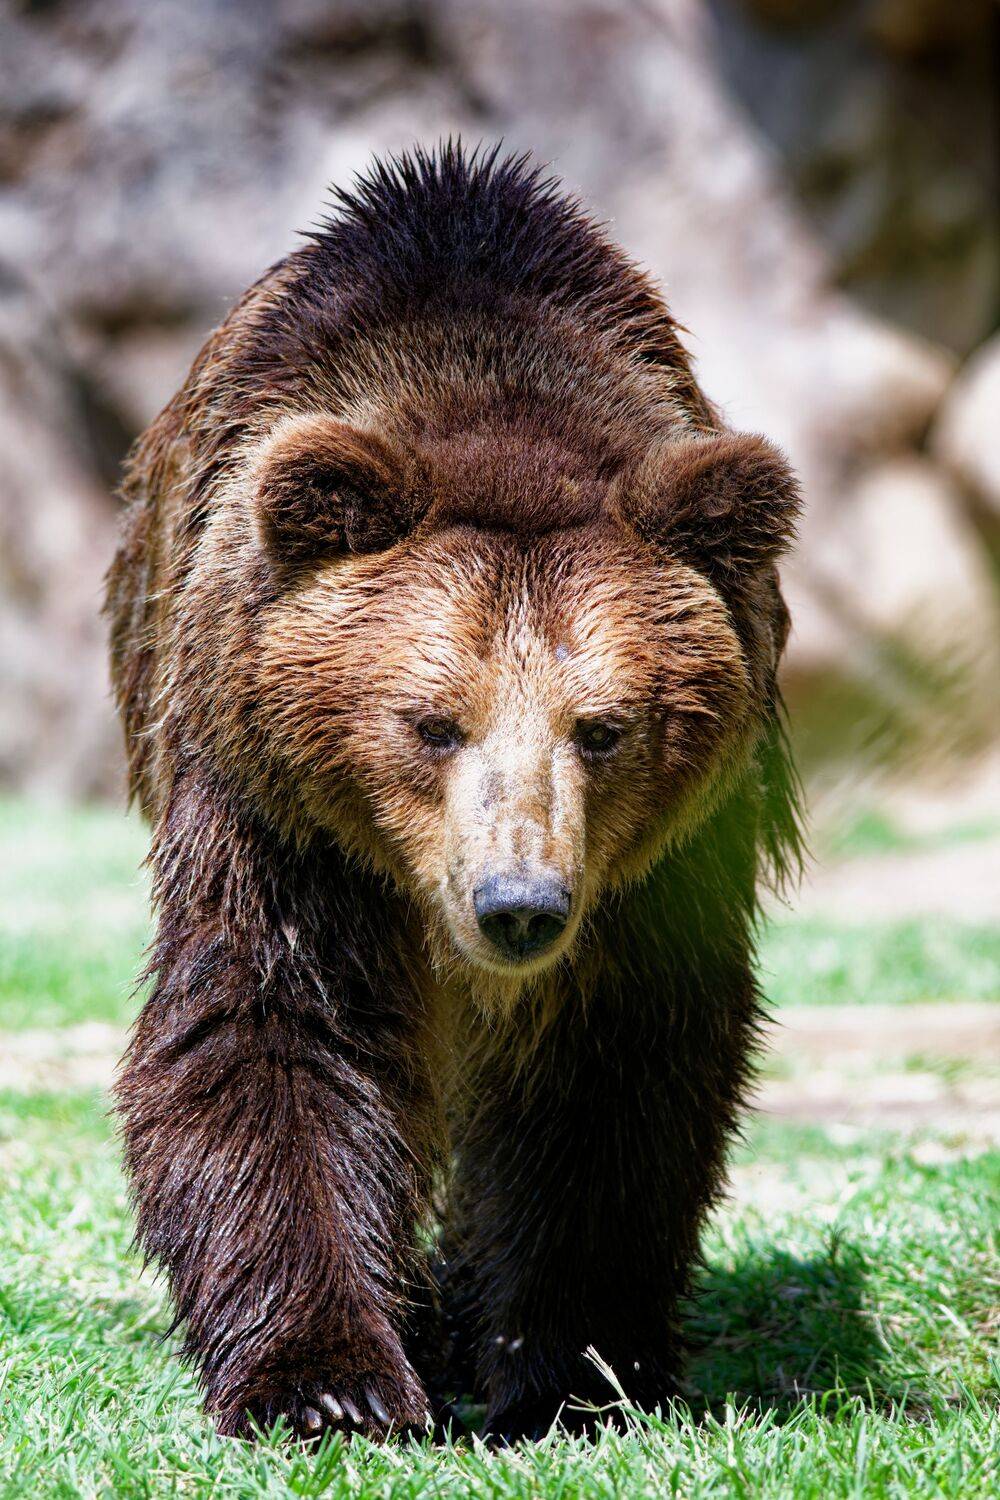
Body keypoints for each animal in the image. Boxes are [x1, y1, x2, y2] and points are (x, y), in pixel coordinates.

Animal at [106, 143, 802, 1444]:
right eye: (431, 722)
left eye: (604, 728)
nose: (516, 906)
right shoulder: (278, 810)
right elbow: (275, 1030)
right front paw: (326, 1378)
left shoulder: (655, 871)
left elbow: (611, 1074)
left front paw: (568, 1367)